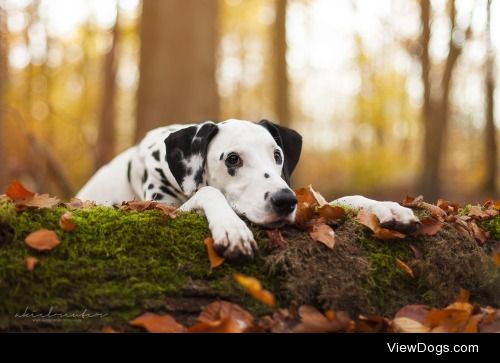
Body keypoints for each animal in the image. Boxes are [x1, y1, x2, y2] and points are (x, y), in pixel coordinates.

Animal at [77, 121, 418, 260]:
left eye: (277, 155)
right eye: (232, 159)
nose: (285, 201)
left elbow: (339, 199)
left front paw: (387, 207)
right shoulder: (161, 206)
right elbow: (209, 193)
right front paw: (233, 230)